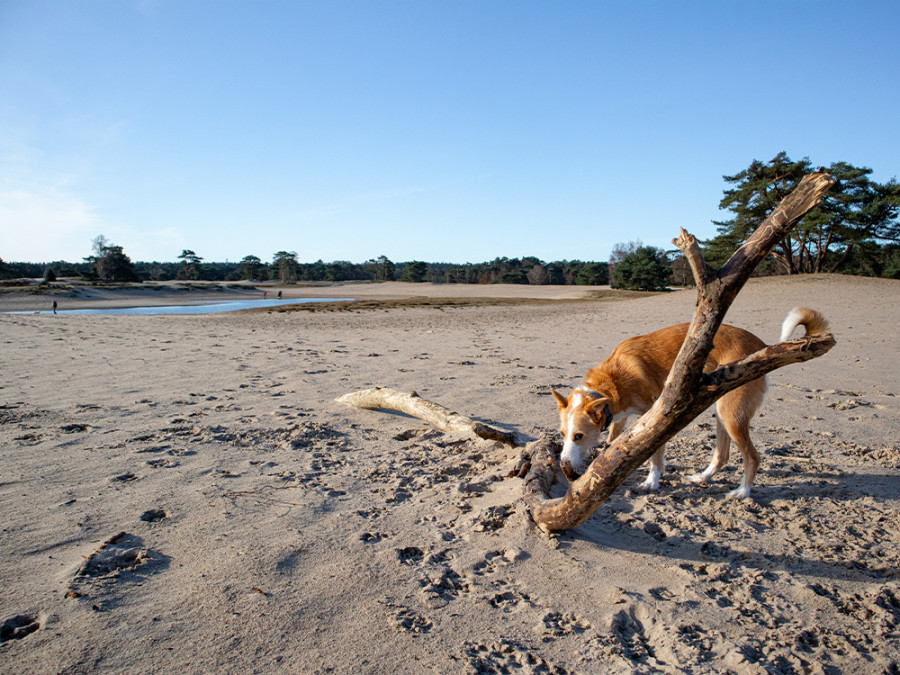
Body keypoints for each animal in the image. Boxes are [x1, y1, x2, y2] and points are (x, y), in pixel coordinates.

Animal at [548, 308, 828, 500]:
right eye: (562, 434)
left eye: (578, 436)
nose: (563, 465)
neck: (612, 380)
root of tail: (760, 345)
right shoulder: (621, 418)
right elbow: (614, 443)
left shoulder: (654, 416)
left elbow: (654, 455)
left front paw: (652, 481)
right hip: (722, 411)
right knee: (723, 454)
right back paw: (702, 477)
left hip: (731, 415)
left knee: (753, 457)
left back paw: (742, 492)